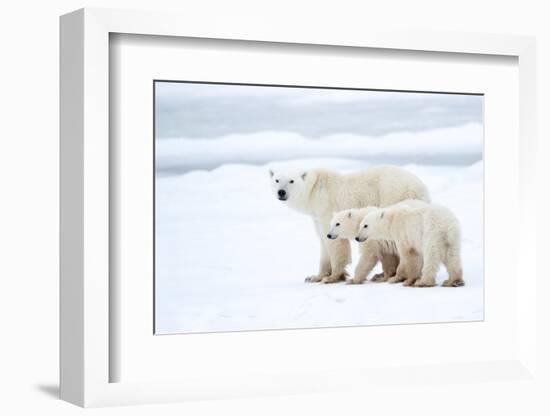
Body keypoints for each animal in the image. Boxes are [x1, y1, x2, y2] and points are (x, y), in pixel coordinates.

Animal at [270, 166, 434, 282]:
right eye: (277, 180)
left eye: (291, 180)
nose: (281, 192)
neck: (314, 190)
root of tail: (422, 187)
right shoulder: (316, 216)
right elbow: (323, 240)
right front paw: (314, 276)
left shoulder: (326, 207)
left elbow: (335, 242)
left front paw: (333, 276)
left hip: (393, 194)